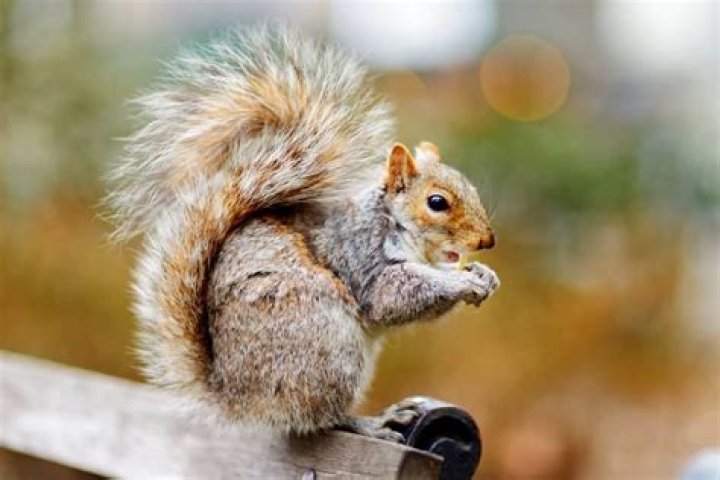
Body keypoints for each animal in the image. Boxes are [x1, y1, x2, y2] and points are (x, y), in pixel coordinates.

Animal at [106, 26, 499, 440]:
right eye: (437, 202)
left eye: (471, 188)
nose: (486, 241)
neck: (398, 229)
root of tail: (243, 399)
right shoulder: (359, 254)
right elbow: (391, 297)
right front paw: (460, 282)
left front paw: (483, 274)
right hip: (326, 342)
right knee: (320, 417)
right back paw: (374, 423)